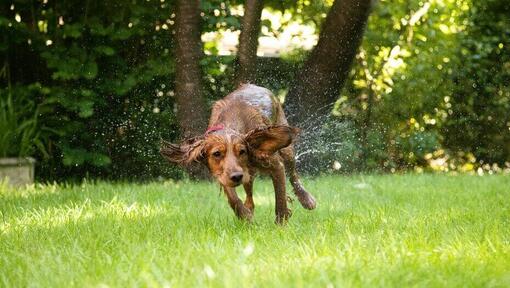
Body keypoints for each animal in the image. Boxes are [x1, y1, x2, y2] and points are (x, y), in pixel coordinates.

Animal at [161, 83, 316, 223]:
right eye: (216, 153)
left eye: (242, 151)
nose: (236, 176)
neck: (232, 123)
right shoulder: (222, 174)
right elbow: (233, 198)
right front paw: (244, 215)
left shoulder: (275, 165)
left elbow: (280, 198)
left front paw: (281, 224)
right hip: (249, 173)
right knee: (249, 194)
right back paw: (249, 209)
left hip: (286, 149)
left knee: (293, 175)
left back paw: (307, 199)